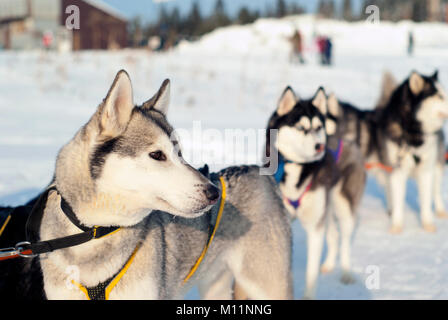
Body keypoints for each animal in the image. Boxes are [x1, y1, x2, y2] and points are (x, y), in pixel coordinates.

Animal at [264, 87, 366, 298]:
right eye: (301, 128)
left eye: (319, 127)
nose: (320, 146)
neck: (296, 168)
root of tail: (342, 137)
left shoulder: (314, 227)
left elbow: (310, 272)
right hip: (326, 211)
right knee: (333, 236)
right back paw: (328, 265)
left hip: (343, 206)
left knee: (344, 239)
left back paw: (346, 273)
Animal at [326, 70, 448, 231]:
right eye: (439, 96)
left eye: (444, 94)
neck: (411, 133)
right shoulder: (396, 171)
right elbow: (398, 201)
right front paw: (396, 226)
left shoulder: (425, 171)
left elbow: (426, 201)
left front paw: (427, 224)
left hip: (436, 165)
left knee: (436, 191)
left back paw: (440, 211)